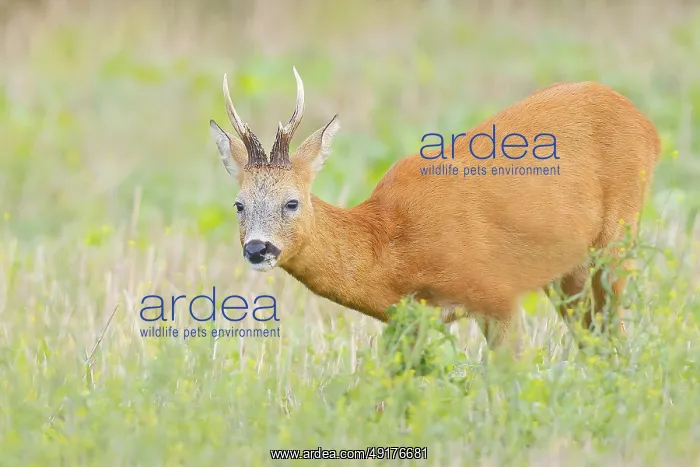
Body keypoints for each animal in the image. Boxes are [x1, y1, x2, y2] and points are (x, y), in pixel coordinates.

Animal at [208, 67, 661, 357]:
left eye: (292, 201)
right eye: (238, 204)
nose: (258, 249)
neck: (390, 244)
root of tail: (649, 127)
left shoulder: (497, 292)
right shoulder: (411, 317)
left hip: (618, 237)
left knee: (614, 331)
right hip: (568, 269)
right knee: (594, 337)